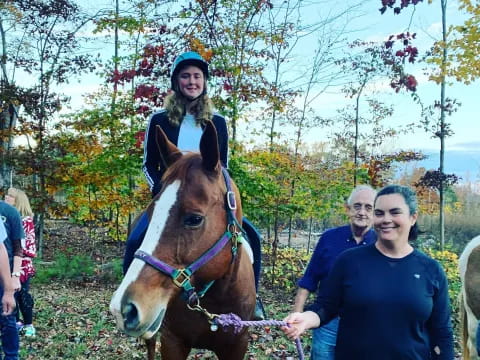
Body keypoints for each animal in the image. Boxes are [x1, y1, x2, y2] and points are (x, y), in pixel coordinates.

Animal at [110, 121, 256, 360]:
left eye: (194, 219)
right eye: (152, 212)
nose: (124, 308)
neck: (214, 302)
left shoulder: (237, 346)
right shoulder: (172, 342)